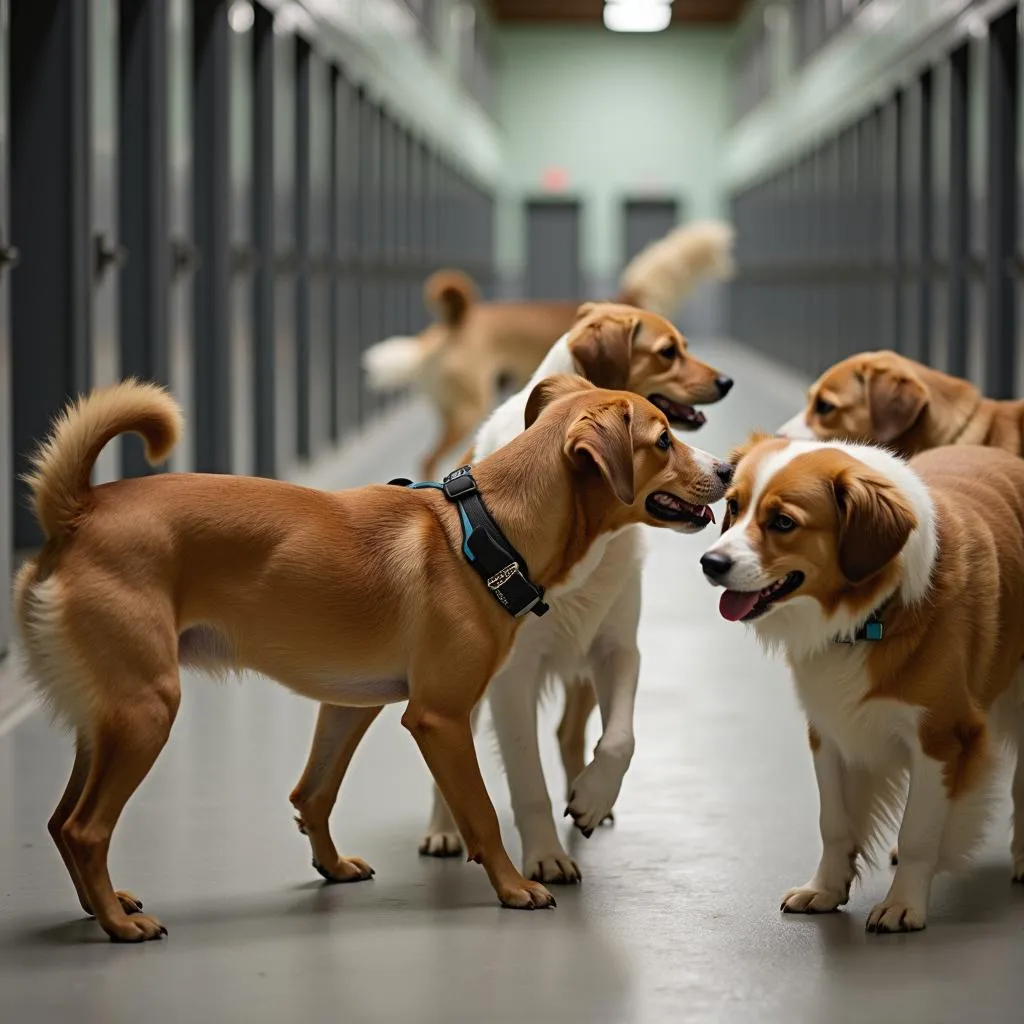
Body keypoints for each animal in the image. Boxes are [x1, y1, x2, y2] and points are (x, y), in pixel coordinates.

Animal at [12, 372, 724, 937]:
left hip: (105, 720)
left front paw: (330, 866)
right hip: (145, 712)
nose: (725, 471)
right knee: (86, 828)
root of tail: (76, 513)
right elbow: (482, 813)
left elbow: (313, 793)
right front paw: (515, 886)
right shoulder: (439, 717)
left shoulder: (350, 704)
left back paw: (99, 904)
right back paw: (117, 924)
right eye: (663, 440)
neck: (487, 529)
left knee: (60, 822)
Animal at [700, 436, 1024, 933]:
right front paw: (826, 889)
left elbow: (918, 833)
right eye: (733, 506)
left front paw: (904, 903)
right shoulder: (829, 729)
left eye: (783, 522)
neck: (869, 615)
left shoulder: (941, 739)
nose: (710, 563)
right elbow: (834, 823)